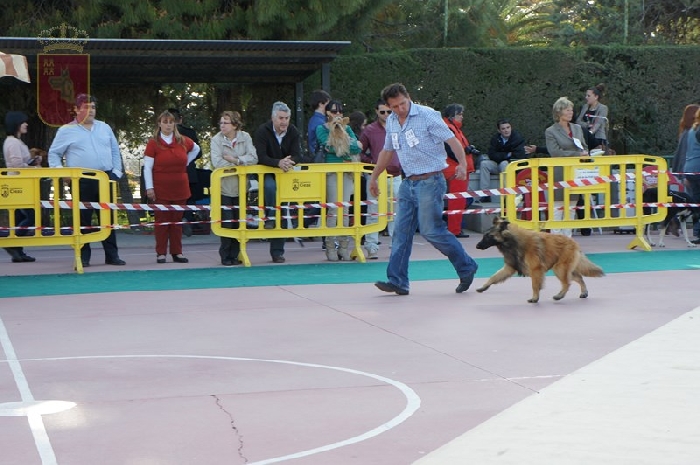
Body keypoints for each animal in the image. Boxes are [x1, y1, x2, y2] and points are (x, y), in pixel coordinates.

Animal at [475, 217, 604, 303]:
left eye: (489, 236)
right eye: (484, 235)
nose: (477, 246)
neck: (512, 241)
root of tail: (574, 243)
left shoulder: (535, 269)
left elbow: (535, 285)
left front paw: (535, 298)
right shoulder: (509, 268)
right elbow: (493, 277)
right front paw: (483, 287)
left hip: (559, 268)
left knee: (567, 283)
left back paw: (559, 296)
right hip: (565, 269)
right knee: (579, 278)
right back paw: (583, 292)